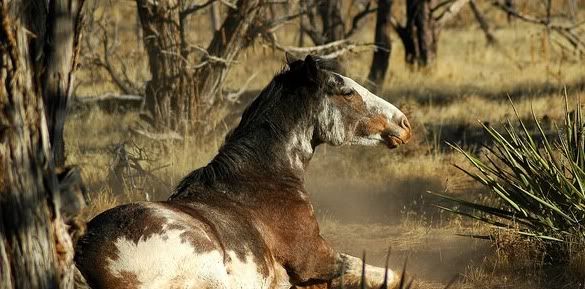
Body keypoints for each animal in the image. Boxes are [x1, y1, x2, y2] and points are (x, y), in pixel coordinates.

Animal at [75, 54, 410, 288]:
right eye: (347, 92)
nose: (404, 124)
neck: (264, 182)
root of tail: (82, 258)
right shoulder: (316, 258)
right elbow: (390, 274)